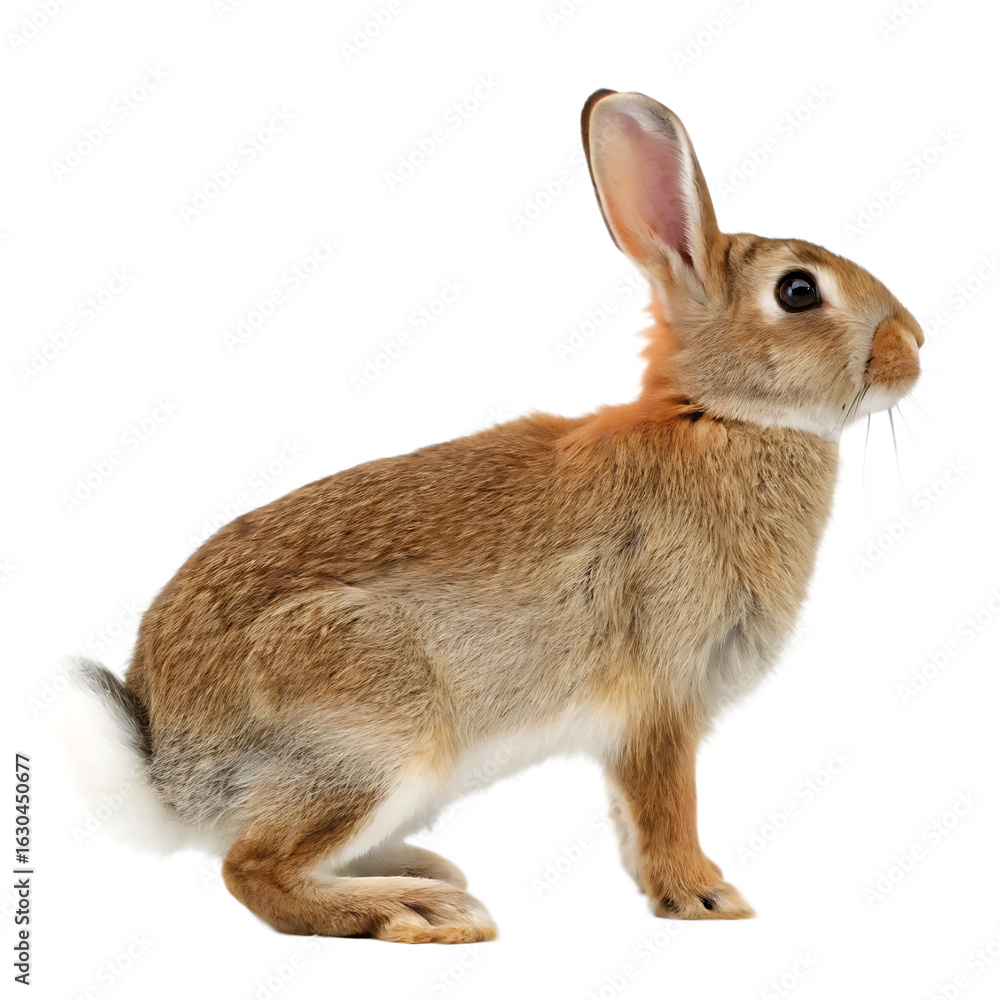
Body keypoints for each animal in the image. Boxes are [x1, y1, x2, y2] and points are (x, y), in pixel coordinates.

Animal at [67, 89, 924, 944]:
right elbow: (664, 805)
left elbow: (628, 818)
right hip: (377, 729)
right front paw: (706, 897)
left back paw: (425, 872)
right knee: (252, 869)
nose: (915, 344)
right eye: (798, 291)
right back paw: (418, 909)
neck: (718, 416)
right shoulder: (659, 698)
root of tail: (167, 768)